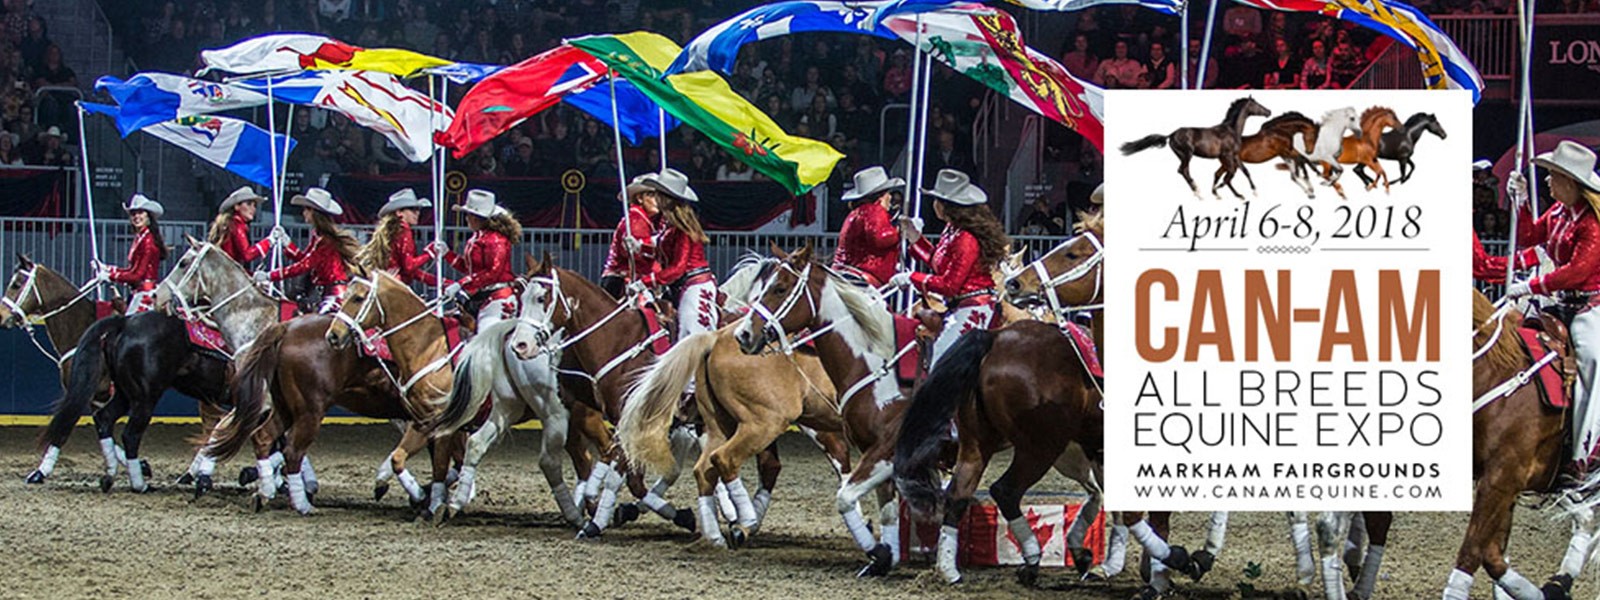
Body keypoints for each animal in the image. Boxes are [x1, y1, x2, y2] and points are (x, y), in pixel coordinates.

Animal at [1120, 96, 1267, 202]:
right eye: (1257, 104)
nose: (1268, 111)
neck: (1231, 130)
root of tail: (1171, 134)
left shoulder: (1235, 155)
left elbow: (1244, 171)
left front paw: (1252, 192)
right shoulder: (1227, 155)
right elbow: (1229, 175)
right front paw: (1219, 191)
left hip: (1183, 156)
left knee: (1185, 171)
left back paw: (1198, 191)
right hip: (1187, 154)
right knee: (1182, 170)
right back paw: (1198, 192)